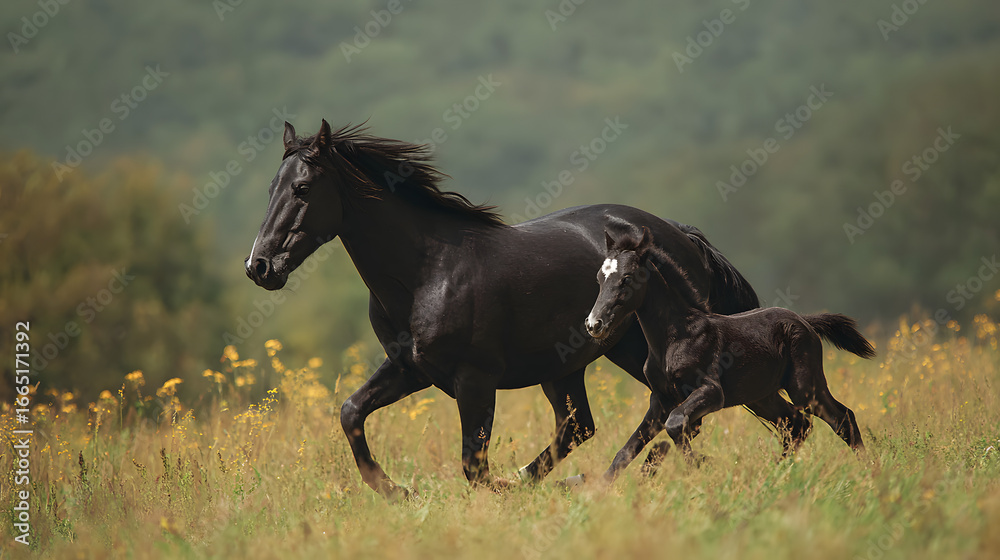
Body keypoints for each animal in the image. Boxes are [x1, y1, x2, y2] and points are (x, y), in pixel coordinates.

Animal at [245, 119, 780, 498]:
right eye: (270, 187)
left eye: (302, 189)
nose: (260, 266)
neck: (427, 270)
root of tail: (679, 234)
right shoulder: (410, 368)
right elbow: (351, 412)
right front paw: (400, 492)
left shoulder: (475, 379)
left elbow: (473, 467)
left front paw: (489, 489)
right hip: (567, 365)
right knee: (583, 426)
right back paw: (574, 480)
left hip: (637, 347)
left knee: (661, 410)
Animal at [585, 224, 873, 475]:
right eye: (599, 277)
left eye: (626, 278)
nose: (593, 324)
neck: (675, 337)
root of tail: (805, 321)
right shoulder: (661, 399)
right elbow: (627, 450)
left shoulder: (712, 392)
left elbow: (676, 424)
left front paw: (702, 466)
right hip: (762, 396)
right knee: (797, 425)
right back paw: (774, 475)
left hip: (805, 388)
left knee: (842, 418)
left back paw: (869, 471)